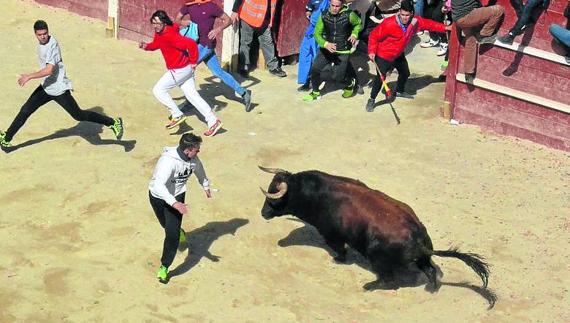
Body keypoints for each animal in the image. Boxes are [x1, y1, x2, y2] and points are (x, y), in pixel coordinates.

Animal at [258, 167, 492, 306]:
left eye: (273, 197)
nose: (263, 213)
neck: (314, 193)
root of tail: (419, 240)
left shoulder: (332, 234)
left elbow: (339, 249)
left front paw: (338, 260)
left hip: (376, 257)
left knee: (389, 279)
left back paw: (370, 285)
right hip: (422, 258)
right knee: (430, 270)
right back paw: (432, 289)